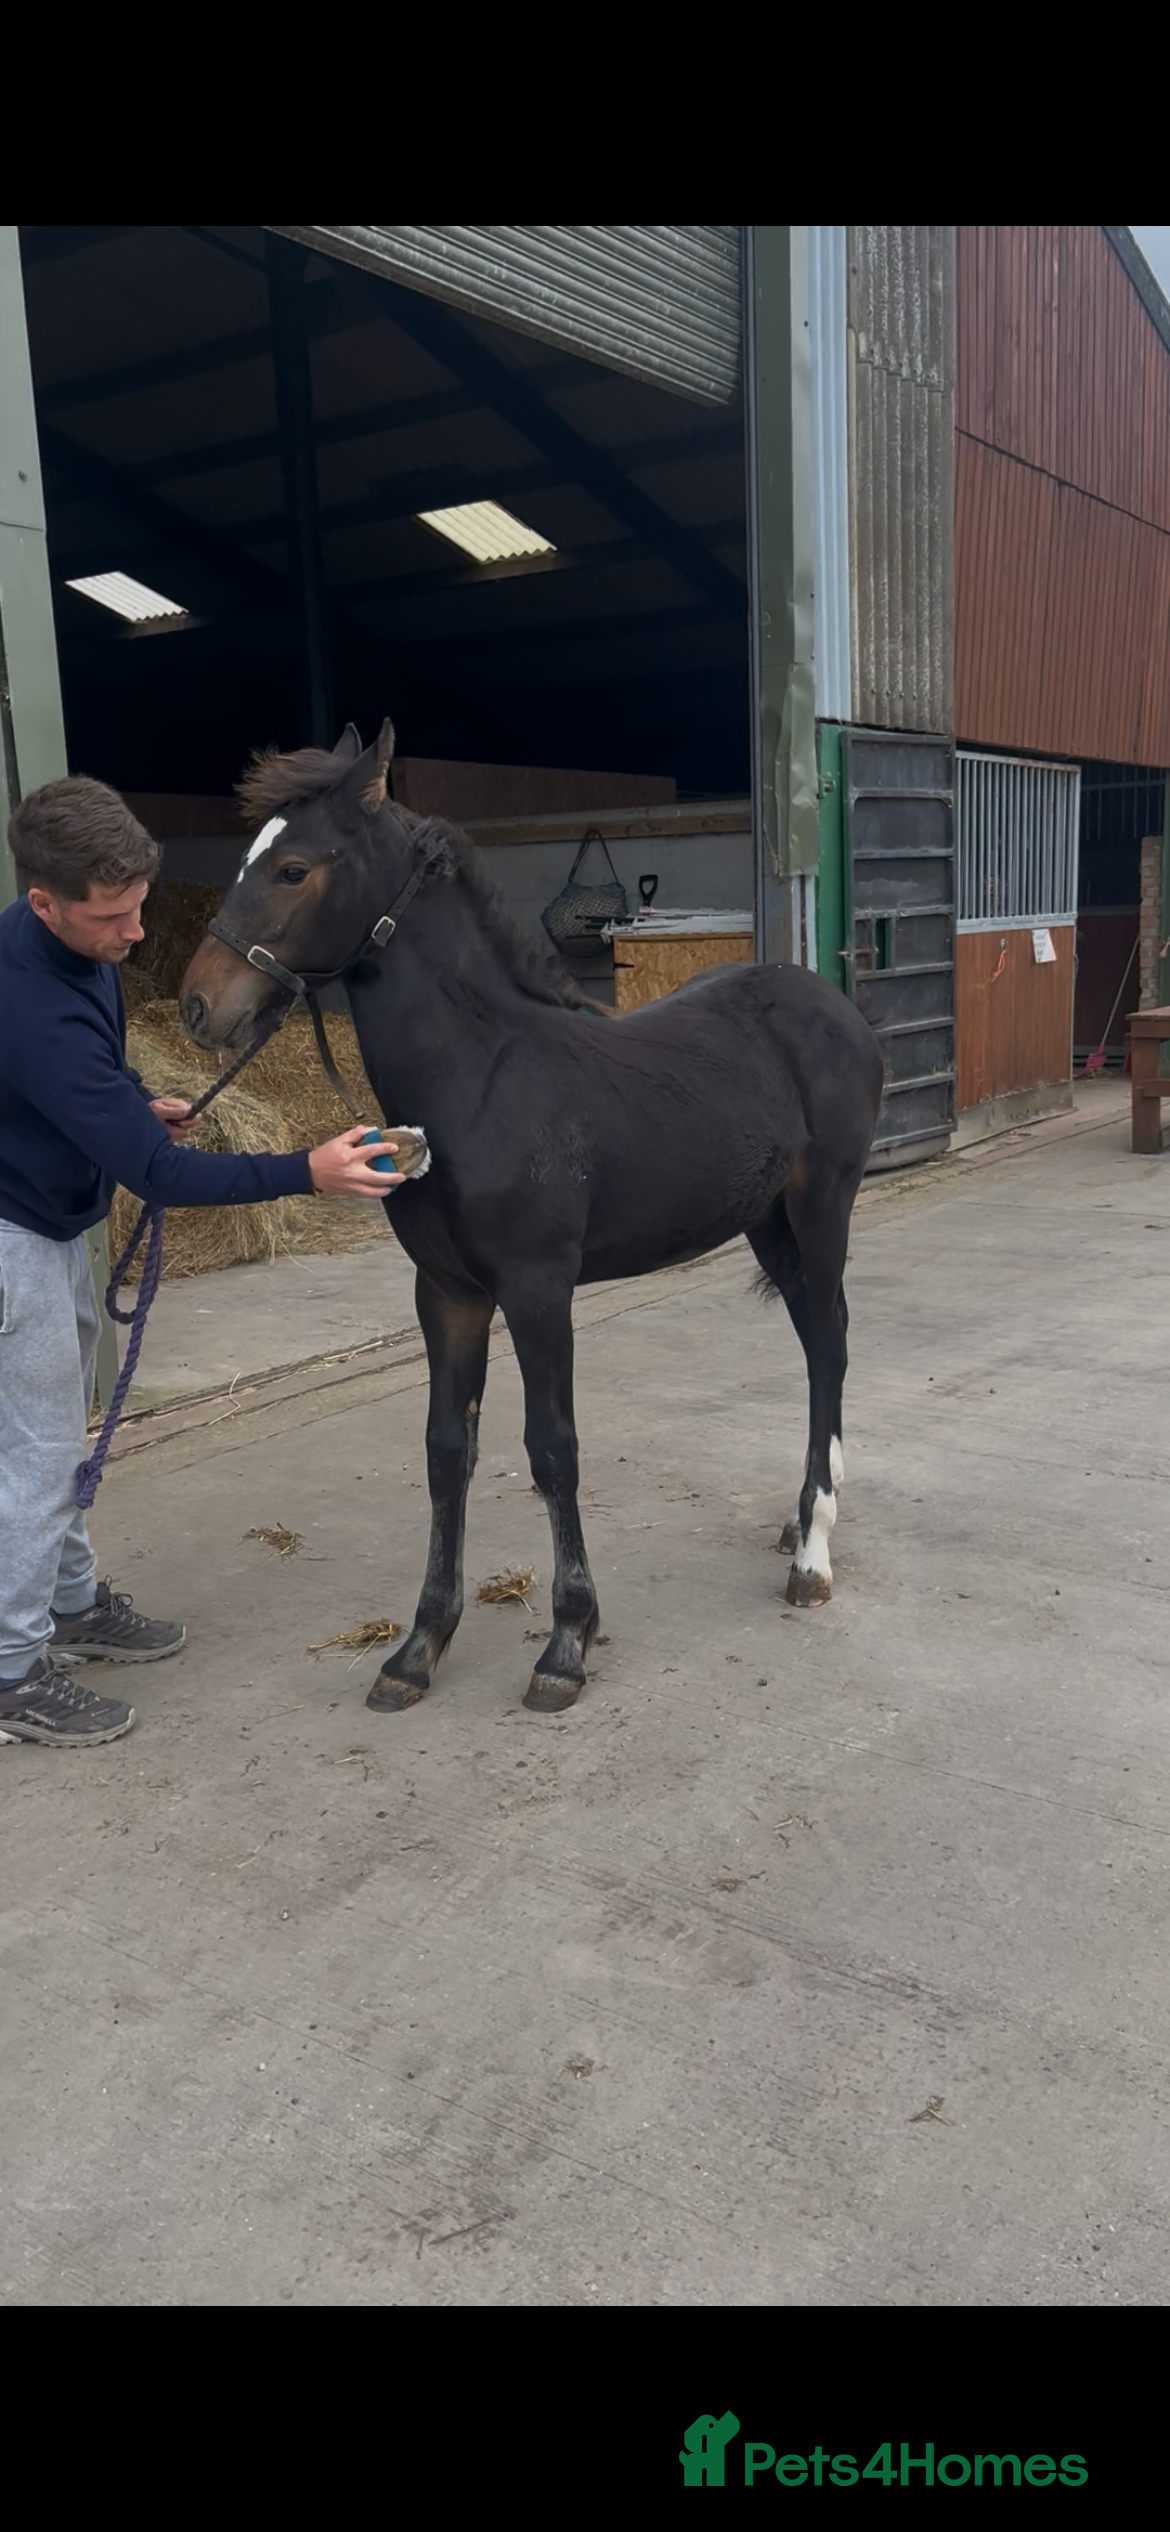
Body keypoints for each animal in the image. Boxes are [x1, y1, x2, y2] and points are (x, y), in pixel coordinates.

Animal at [179, 721, 884, 1715]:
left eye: (292, 869)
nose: (200, 1007)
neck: (480, 1076)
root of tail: (832, 1004)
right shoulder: (447, 1293)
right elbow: (447, 1450)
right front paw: (417, 1648)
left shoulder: (539, 1287)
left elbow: (552, 1451)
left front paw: (567, 1642)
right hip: (768, 1223)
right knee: (825, 1337)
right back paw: (801, 1516)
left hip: (821, 1207)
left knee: (827, 1344)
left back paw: (814, 1551)